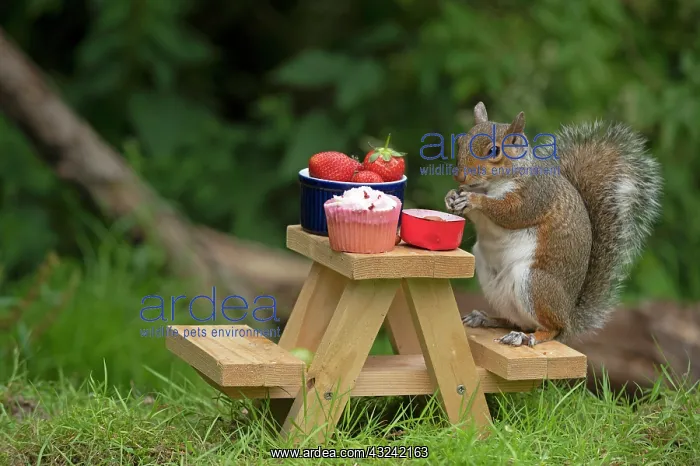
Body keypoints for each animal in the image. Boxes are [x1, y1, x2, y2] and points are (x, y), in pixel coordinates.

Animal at [445, 102, 662, 347]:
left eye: (494, 151)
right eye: (461, 142)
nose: (460, 177)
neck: (491, 185)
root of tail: (568, 317)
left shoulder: (535, 195)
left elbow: (512, 212)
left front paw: (474, 200)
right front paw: (451, 197)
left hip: (535, 284)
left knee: (551, 329)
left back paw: (526, 336)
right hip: (492, 281)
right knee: (515, 320)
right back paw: (486, 319)